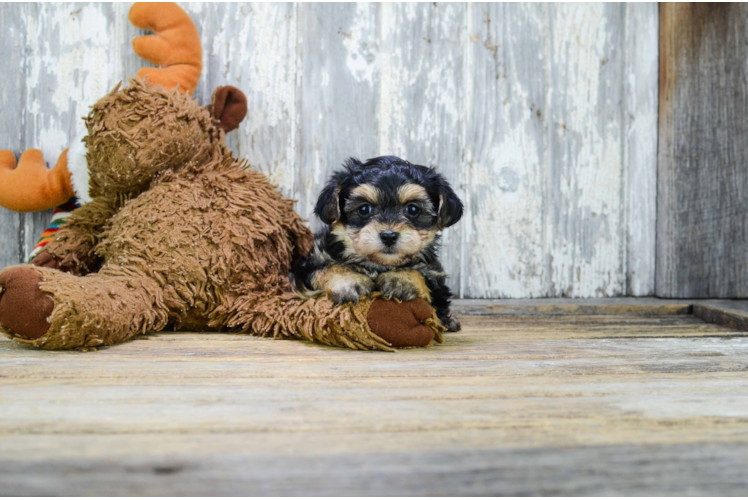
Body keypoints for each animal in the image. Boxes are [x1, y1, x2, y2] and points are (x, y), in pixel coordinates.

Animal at [292, 156, 462, 332]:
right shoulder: (310, 264)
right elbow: (326, 268)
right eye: (364, 209)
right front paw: (349, 281)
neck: (379, 264)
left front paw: (401, 279)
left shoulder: (435, 275)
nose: (389, 236)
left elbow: (424, 277)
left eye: (413, 209)